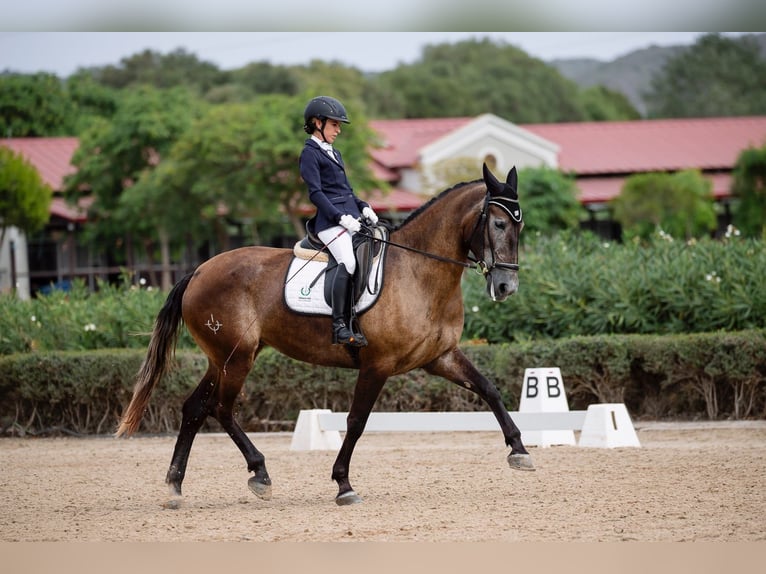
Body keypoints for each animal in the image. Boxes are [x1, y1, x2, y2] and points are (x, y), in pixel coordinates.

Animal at [118, 162, 536, 508]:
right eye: (498, 224)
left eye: (520, 226)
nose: (506, 287)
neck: (418, 271)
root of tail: (200, 270)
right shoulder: (377, 364)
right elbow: (356, 421)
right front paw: (343, 484)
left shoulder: (440, 357)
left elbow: (489, 389)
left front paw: (519, 450)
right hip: (236, 358)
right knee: (220, 408)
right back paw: (260, 474)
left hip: (223, 357)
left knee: (195, 408)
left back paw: (175, 486)